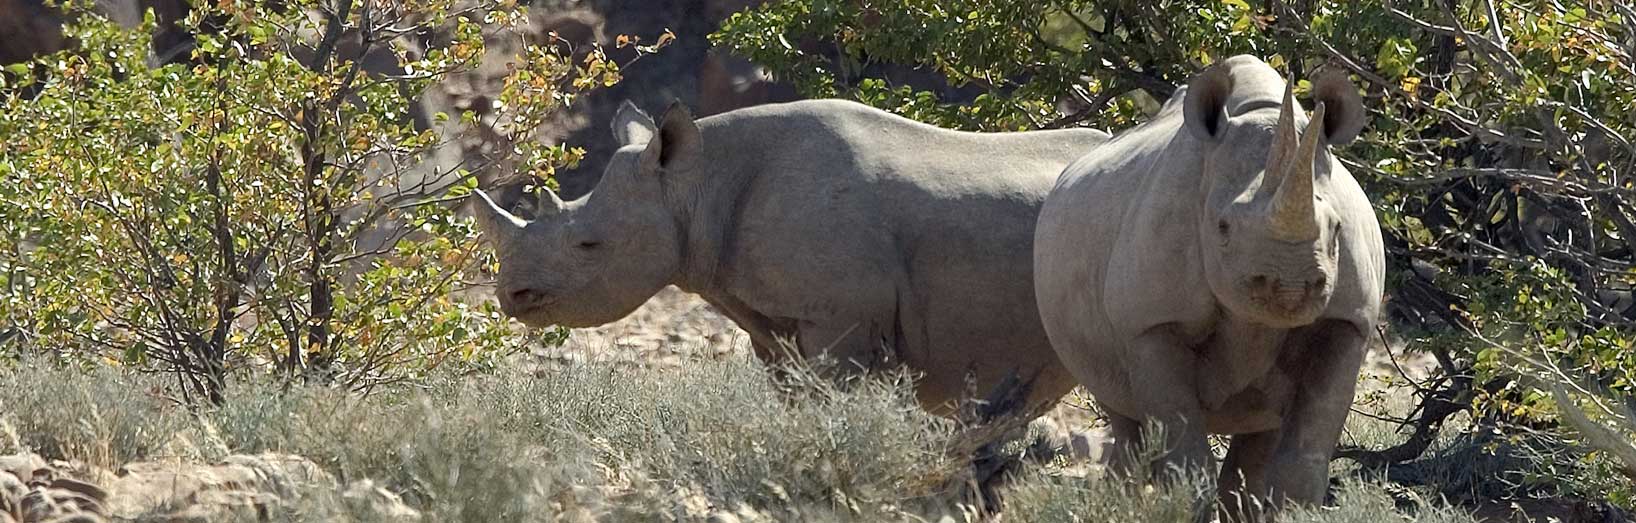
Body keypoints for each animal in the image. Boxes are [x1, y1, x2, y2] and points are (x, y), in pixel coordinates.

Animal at [472, 98, 1111, 416]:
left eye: (588, 245)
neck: (695, 183)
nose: (511, 296)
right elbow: (795, 399)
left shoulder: (841, 317)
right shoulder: (774, 319)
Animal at [1032, 55, 1384, 513]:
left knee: (1262, 430)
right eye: (1222, 227)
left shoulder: (1348, 321)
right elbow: (1186, 459)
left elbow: (1304, 457)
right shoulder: (1152, 322)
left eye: (1338, 227)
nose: (1289, 285)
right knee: (1123, 414)